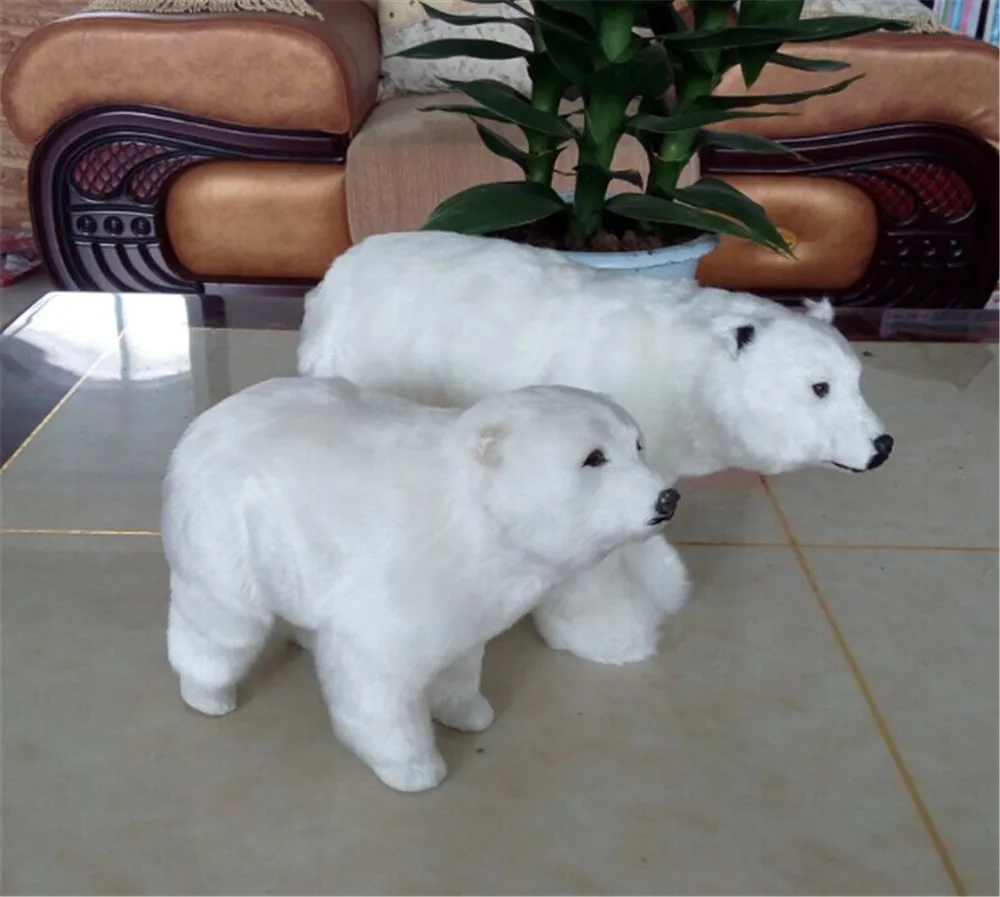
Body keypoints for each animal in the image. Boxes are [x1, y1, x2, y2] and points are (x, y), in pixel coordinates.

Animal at [162, 377, 677, 792]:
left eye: (637, 444)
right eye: (593, 457)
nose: (667, 498)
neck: (475, 520)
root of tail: (201, 424)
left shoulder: (469, 596)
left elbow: (460, 661)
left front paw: (468, 712)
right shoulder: (397, 583)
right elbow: (375, 687)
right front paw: (414, 768)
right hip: (224, 529)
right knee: (221, 623)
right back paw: (208, 693)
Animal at [297, 231, 894, 666]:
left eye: (857, 380)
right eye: (819, 387)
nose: (882, 445)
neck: (683, 370)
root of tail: (332, 281)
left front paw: (661, 580)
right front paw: (614, 633)